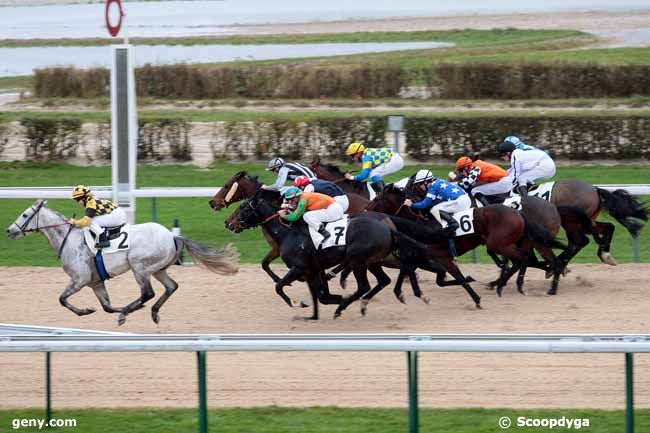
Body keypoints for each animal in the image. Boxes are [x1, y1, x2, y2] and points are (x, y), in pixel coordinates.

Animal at [5, 199, 238, 324]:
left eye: (24, 214)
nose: (9, 230)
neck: (69, 239)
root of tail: (173, 236)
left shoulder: (80, 279)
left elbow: (62, 299)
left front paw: (86, 312)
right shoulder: (95, 282)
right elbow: (107, 307)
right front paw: (98, 310)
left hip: (139, 267)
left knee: (148, 293)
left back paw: (131, 310)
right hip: (158, 269)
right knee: (171, 287)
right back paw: (151, 312)